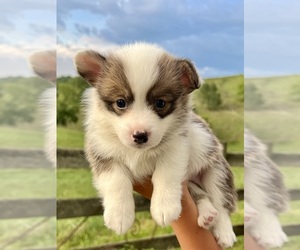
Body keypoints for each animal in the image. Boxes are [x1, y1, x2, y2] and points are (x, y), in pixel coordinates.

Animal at [74, 42, 237, 247]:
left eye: (160, 103)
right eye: (120, 102)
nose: (140, 135)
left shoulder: (177, 146)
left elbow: (165, 173)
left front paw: (164, 207)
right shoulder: (101, 151)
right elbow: (116, 181)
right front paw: (119, 215)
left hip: (216, 169)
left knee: (221, 201)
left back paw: (224, 230)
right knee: (201, 194)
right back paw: (207, 214)